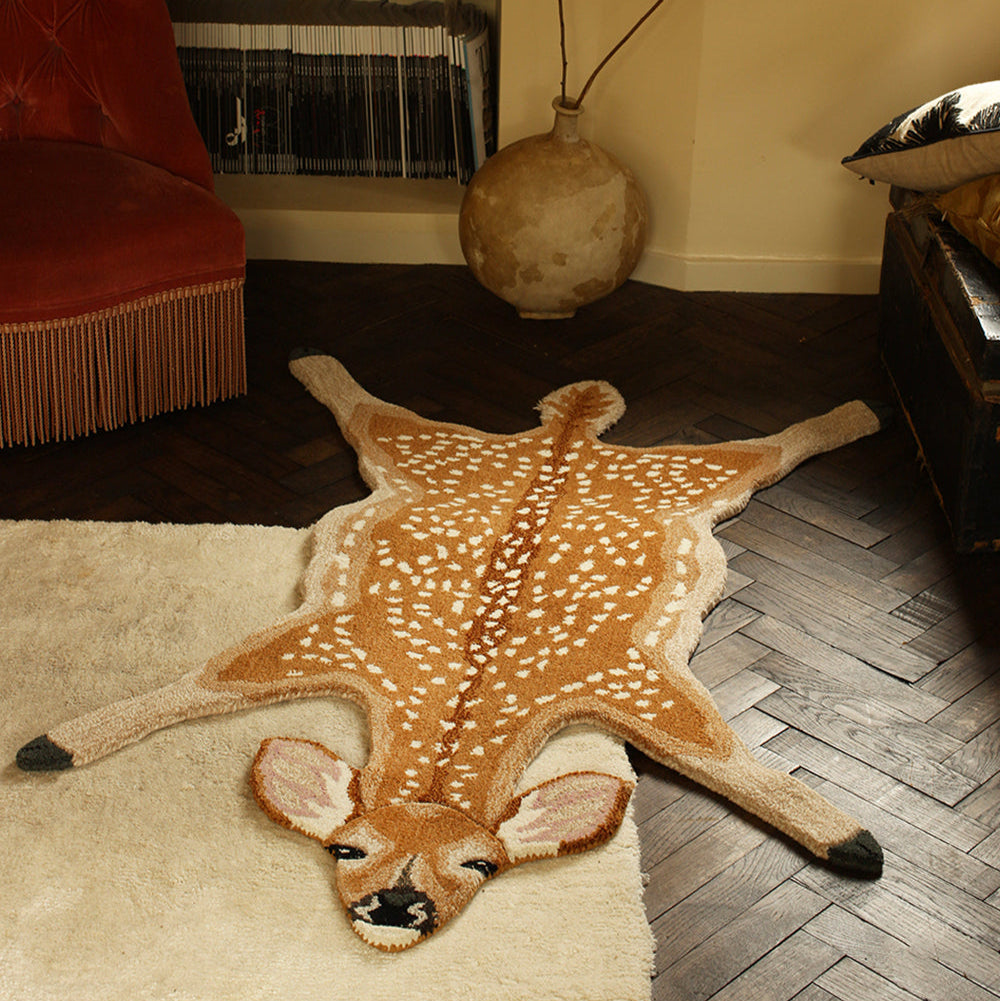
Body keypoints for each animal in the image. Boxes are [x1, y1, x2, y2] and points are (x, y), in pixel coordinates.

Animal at [16, 351, 886, 950]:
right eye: (346, 847)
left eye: (483, 866)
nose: (399, 907)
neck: (461, 696)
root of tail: (565, 436)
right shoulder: (324, 636)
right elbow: (197, 683)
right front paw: (52, 741)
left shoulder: (634, 681)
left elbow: (732, 761)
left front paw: (850, 837)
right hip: (436, 450)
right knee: (370, 408)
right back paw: (313, 361)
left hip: (692, 476)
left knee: (770, 444)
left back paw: (859, 413)